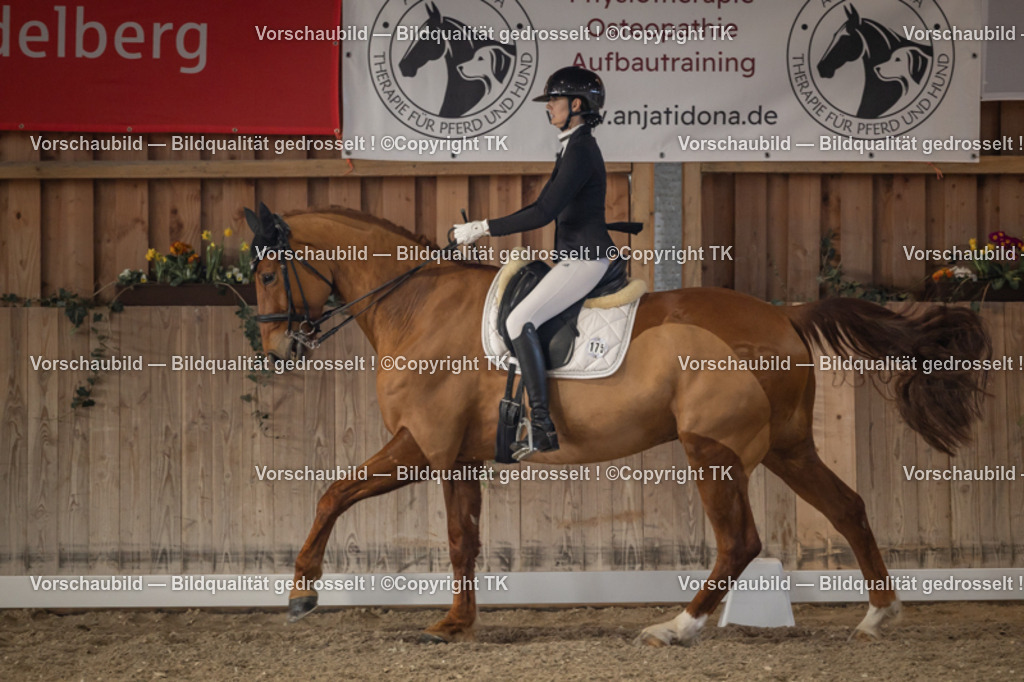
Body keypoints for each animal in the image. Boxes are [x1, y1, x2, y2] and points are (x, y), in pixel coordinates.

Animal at [247, 206, 990, 646]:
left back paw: (678, 627)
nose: (277, 349)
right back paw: (878, 613)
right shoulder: (458, 457)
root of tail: (785, 314)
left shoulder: (422, 447)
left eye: (265, 274)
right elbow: (462, 540)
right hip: (786, 446)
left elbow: (332, 495)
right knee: (848, 507)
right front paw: (458, 621)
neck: (418, 305)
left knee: (741, 541)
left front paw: (302, 592)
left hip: (712, 450)